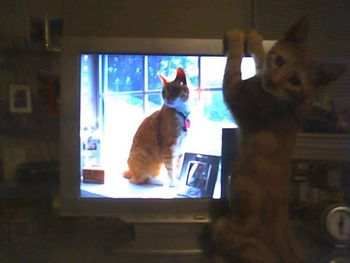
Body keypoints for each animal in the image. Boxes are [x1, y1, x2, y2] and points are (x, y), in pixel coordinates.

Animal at [212, 19, 346, 263]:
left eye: (295, 81)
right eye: (280, 60)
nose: (273, 80)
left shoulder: (234, 92)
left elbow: (234, 63)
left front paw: (236, 38)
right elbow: (260, 59)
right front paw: (255, 40)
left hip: (222, 227)